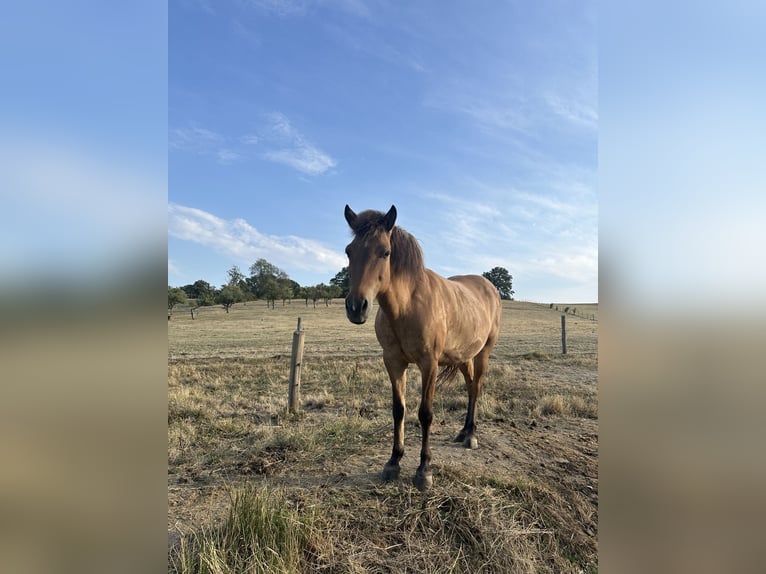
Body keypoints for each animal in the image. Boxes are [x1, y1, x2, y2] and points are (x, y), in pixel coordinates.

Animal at [343, 204, 502, 490]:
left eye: (385, 252)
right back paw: (463, 431)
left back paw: (471, 436)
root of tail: (490, 287)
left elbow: (425, 413)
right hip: (464, 358)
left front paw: (424, 469)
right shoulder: (394, 362)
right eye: (349, 251)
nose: (356, 307)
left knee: (476, 388)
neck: (406, 307)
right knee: (470, 387)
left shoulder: (429, 364)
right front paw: (393, 462)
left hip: (483, 353)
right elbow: (399, 410)